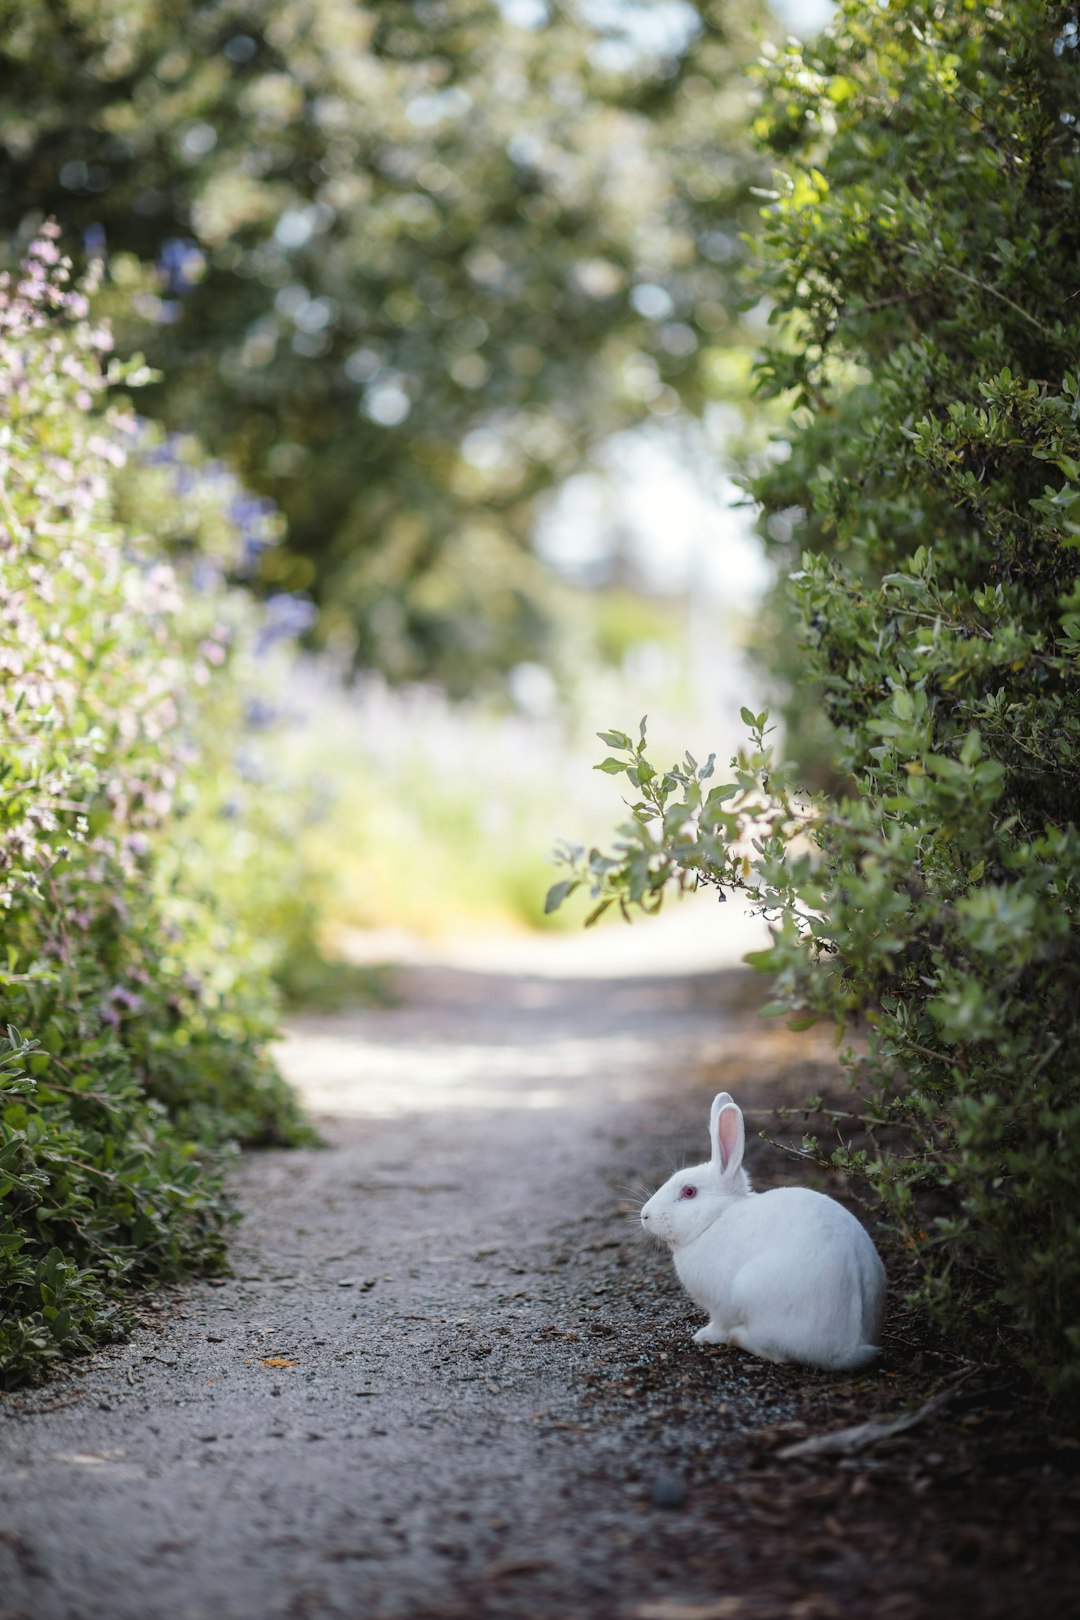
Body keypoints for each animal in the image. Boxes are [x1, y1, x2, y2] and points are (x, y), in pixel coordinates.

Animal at [641, 1088, 887, 1367]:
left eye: (689, 1192)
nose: (645, 1215)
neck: (715, 1218)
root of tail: (850, 1348)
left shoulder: (721, 1306)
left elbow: (719, 1324)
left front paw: (703, 1336)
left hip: (752, 1293)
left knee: (778, 1354)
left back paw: (738, 1338)